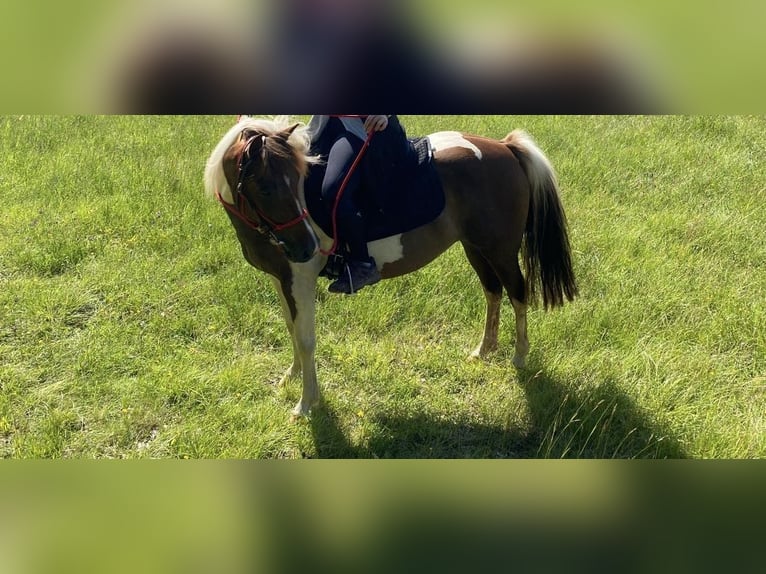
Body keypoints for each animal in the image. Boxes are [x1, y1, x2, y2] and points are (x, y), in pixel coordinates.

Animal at [204, 118, 576, 418]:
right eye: (266, 187)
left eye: (298, 179)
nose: (307, 247)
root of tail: (505, 147)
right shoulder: (282, 279)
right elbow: (291, 329)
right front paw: (290, 377)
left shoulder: (301, 279)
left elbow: (306, 338)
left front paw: (307, 404)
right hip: (475, 248)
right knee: (492, 291)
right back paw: (483, 351)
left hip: (500, 250)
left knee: (517, 293)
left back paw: (519, 357)